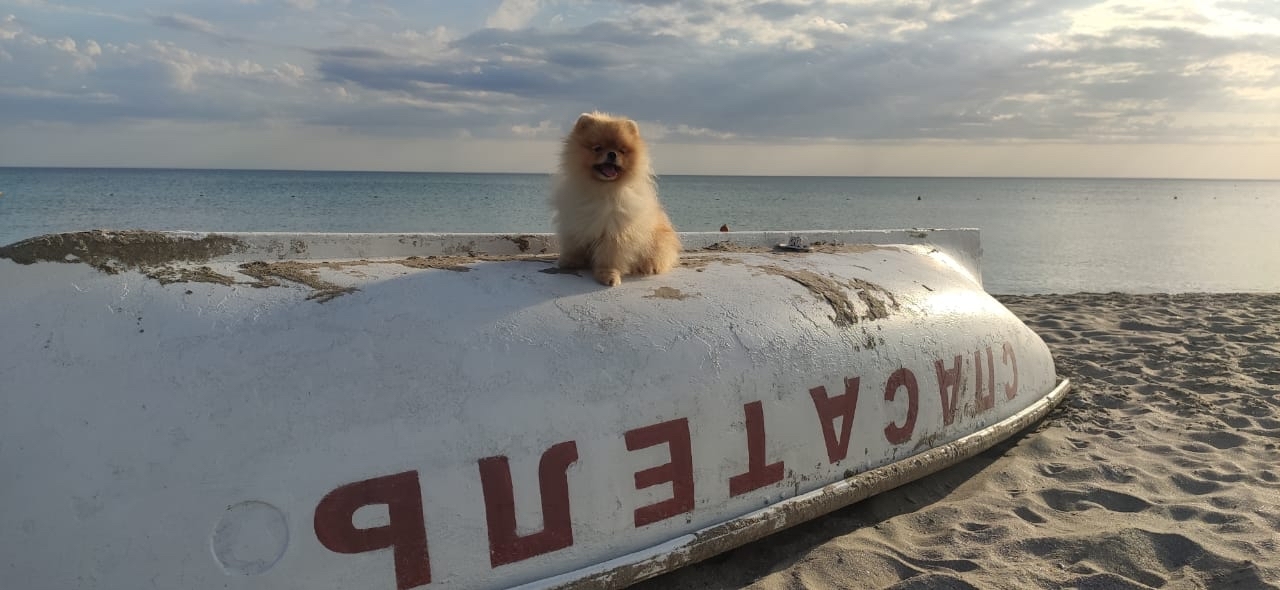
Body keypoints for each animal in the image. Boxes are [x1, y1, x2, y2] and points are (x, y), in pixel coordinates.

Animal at [555, 111, 686, 286]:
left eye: (622, 150)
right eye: (597, 148)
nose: (612, 153)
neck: (602, 189)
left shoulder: (615, 230)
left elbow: (609, 256)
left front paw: (608, 275)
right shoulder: (575, 220)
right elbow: (574, 243)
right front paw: (570, 260)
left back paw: (649, 266)